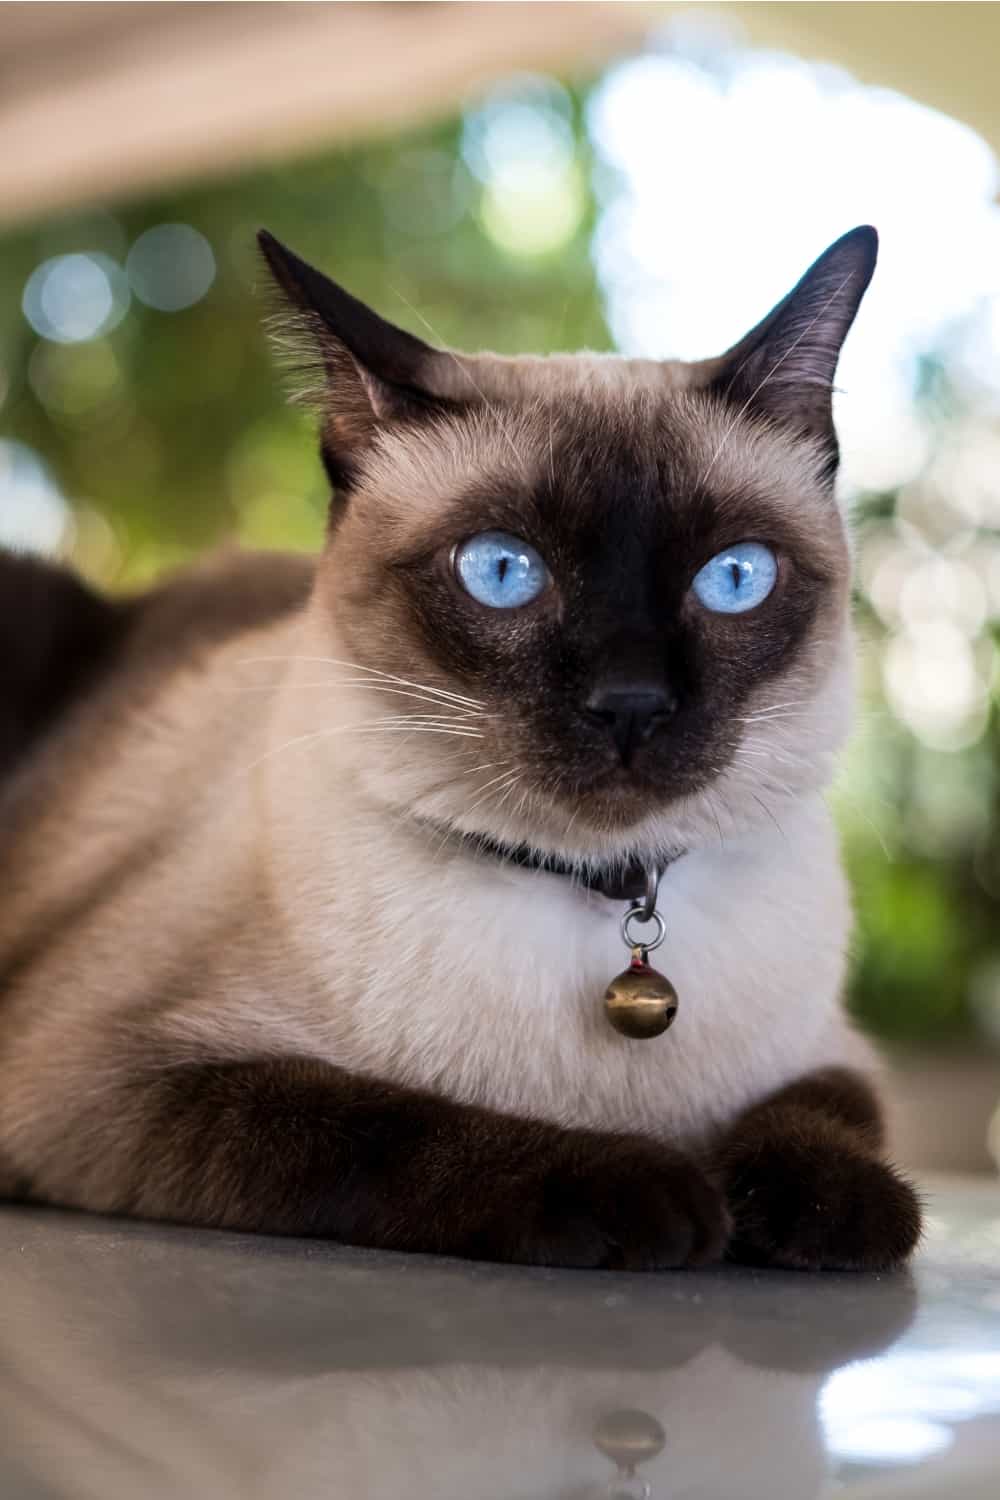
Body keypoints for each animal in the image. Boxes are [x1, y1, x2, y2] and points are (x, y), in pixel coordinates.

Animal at [0, 228, 923, 1272]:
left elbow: (825, 1120)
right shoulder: (102, 1079)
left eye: (734, 578)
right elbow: (385, 1125)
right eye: (502, 570)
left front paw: (822, 1210)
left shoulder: (837, 1052)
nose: (632, 705)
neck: (600, 897)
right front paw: (658, 1194)